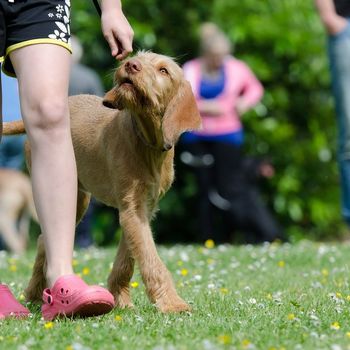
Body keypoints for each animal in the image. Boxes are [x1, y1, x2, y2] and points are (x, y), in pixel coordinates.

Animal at [2, 52, 201, 314]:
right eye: (138, 57)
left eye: (163, 70)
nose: (130, 64)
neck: (146, 142)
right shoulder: (132, 209)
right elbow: (151, 258)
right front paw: (172, 302)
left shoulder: (140, 210)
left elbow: (128, 258)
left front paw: (120, 298)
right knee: (44, 238)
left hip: (77, 199)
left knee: (44, 239)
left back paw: (36, 293)